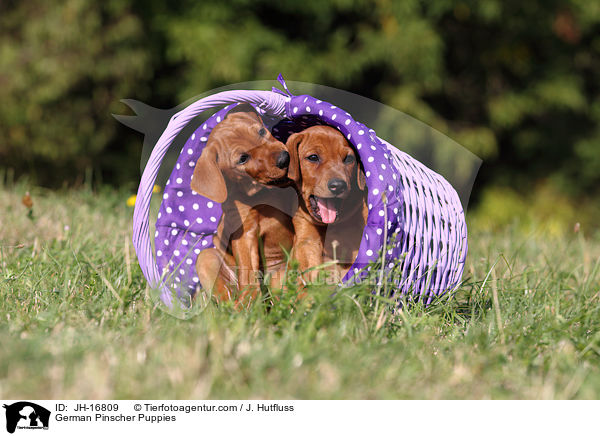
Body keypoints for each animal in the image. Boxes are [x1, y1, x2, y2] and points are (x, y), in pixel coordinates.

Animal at [190, 103, 296, 306]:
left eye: (261, 131)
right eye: (243, 158)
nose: (284, 159)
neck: (262, 193)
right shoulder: (245, 232)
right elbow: (248, 269)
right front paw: (251, 300)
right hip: (206, 258)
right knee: (226, 298)